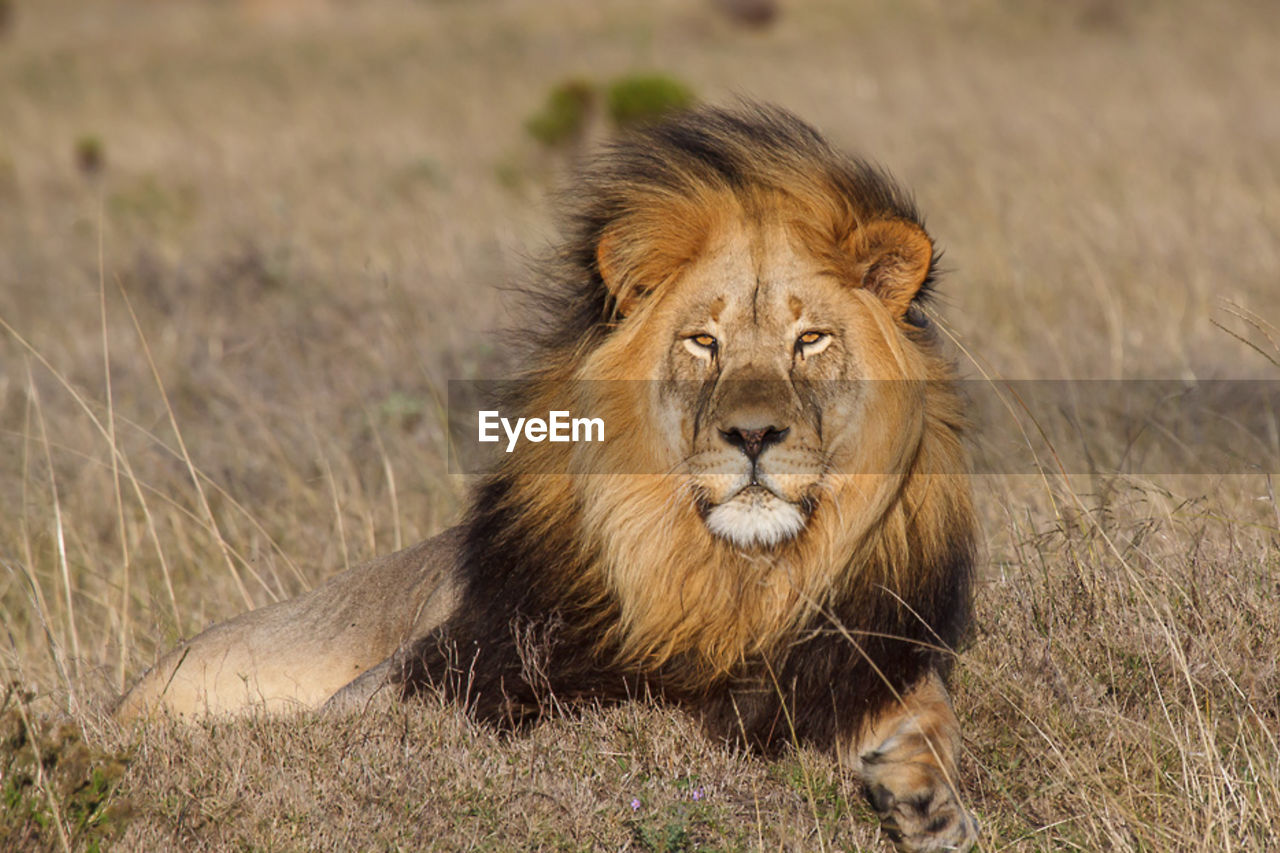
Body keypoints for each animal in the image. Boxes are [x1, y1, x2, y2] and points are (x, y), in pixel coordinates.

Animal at [117, 103, 977, 845]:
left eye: (811, 340)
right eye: (703, 342)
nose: (754, 433)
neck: (732, 579)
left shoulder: (859, 659)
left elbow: (932, 709)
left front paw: (930, 800)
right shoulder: (426, 678)